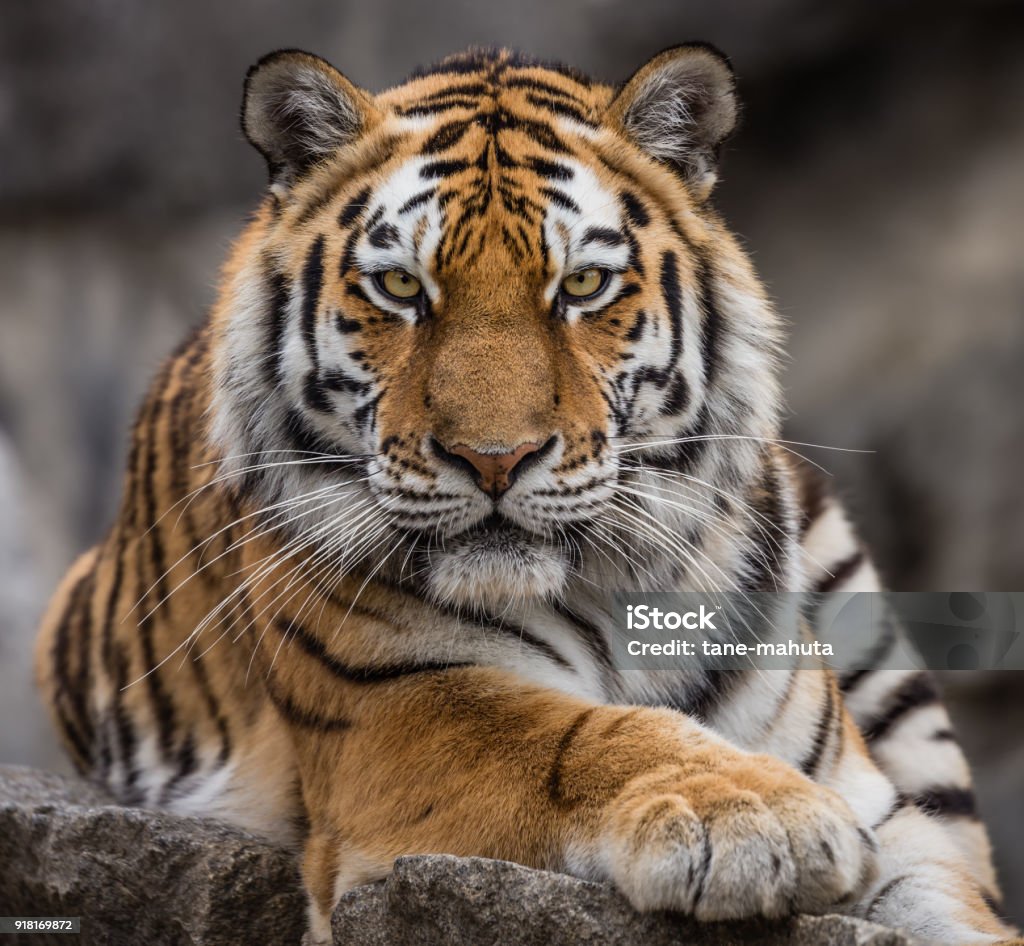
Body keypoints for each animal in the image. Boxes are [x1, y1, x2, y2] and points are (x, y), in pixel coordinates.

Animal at [34, 40, 1015, 941]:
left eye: (581, 284)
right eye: (402, 287)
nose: (495, 459)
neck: (621, 594)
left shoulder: (899, 824)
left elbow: (962, 912)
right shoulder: (394, 708)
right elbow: (575, 735)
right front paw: (757, 817)